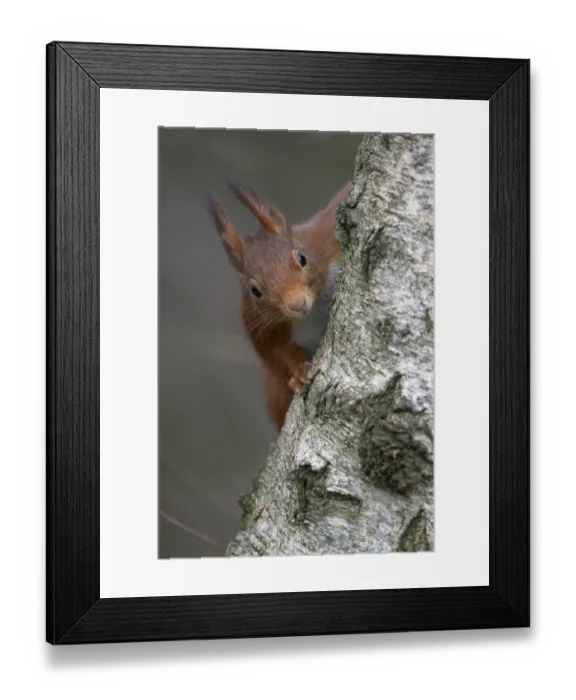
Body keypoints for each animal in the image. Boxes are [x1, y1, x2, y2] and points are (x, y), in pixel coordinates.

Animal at [208, 180, 352, 430]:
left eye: (302, 258)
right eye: (255, 290)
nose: (298, 304)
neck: (312, 312)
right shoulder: (262, 327)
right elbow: (280, 356)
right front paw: (299, 371)